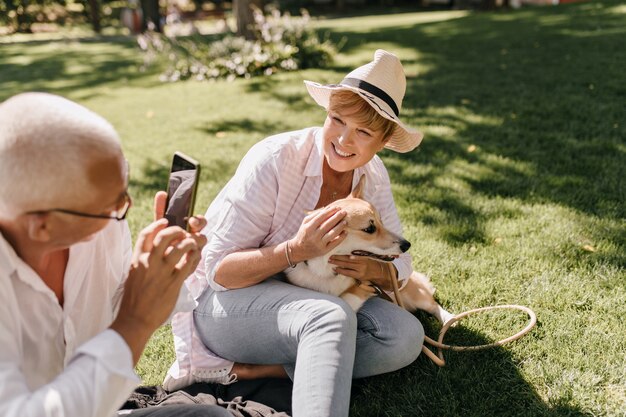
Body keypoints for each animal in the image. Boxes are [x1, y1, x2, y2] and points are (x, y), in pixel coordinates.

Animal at [286, 174, 450, 324]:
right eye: (370, 228)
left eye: (382, 222)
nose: (407, 245)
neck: (326, 269)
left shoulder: (364, 287)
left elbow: (347, 299)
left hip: (412, 295)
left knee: (433, 305)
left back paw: (449, 320)